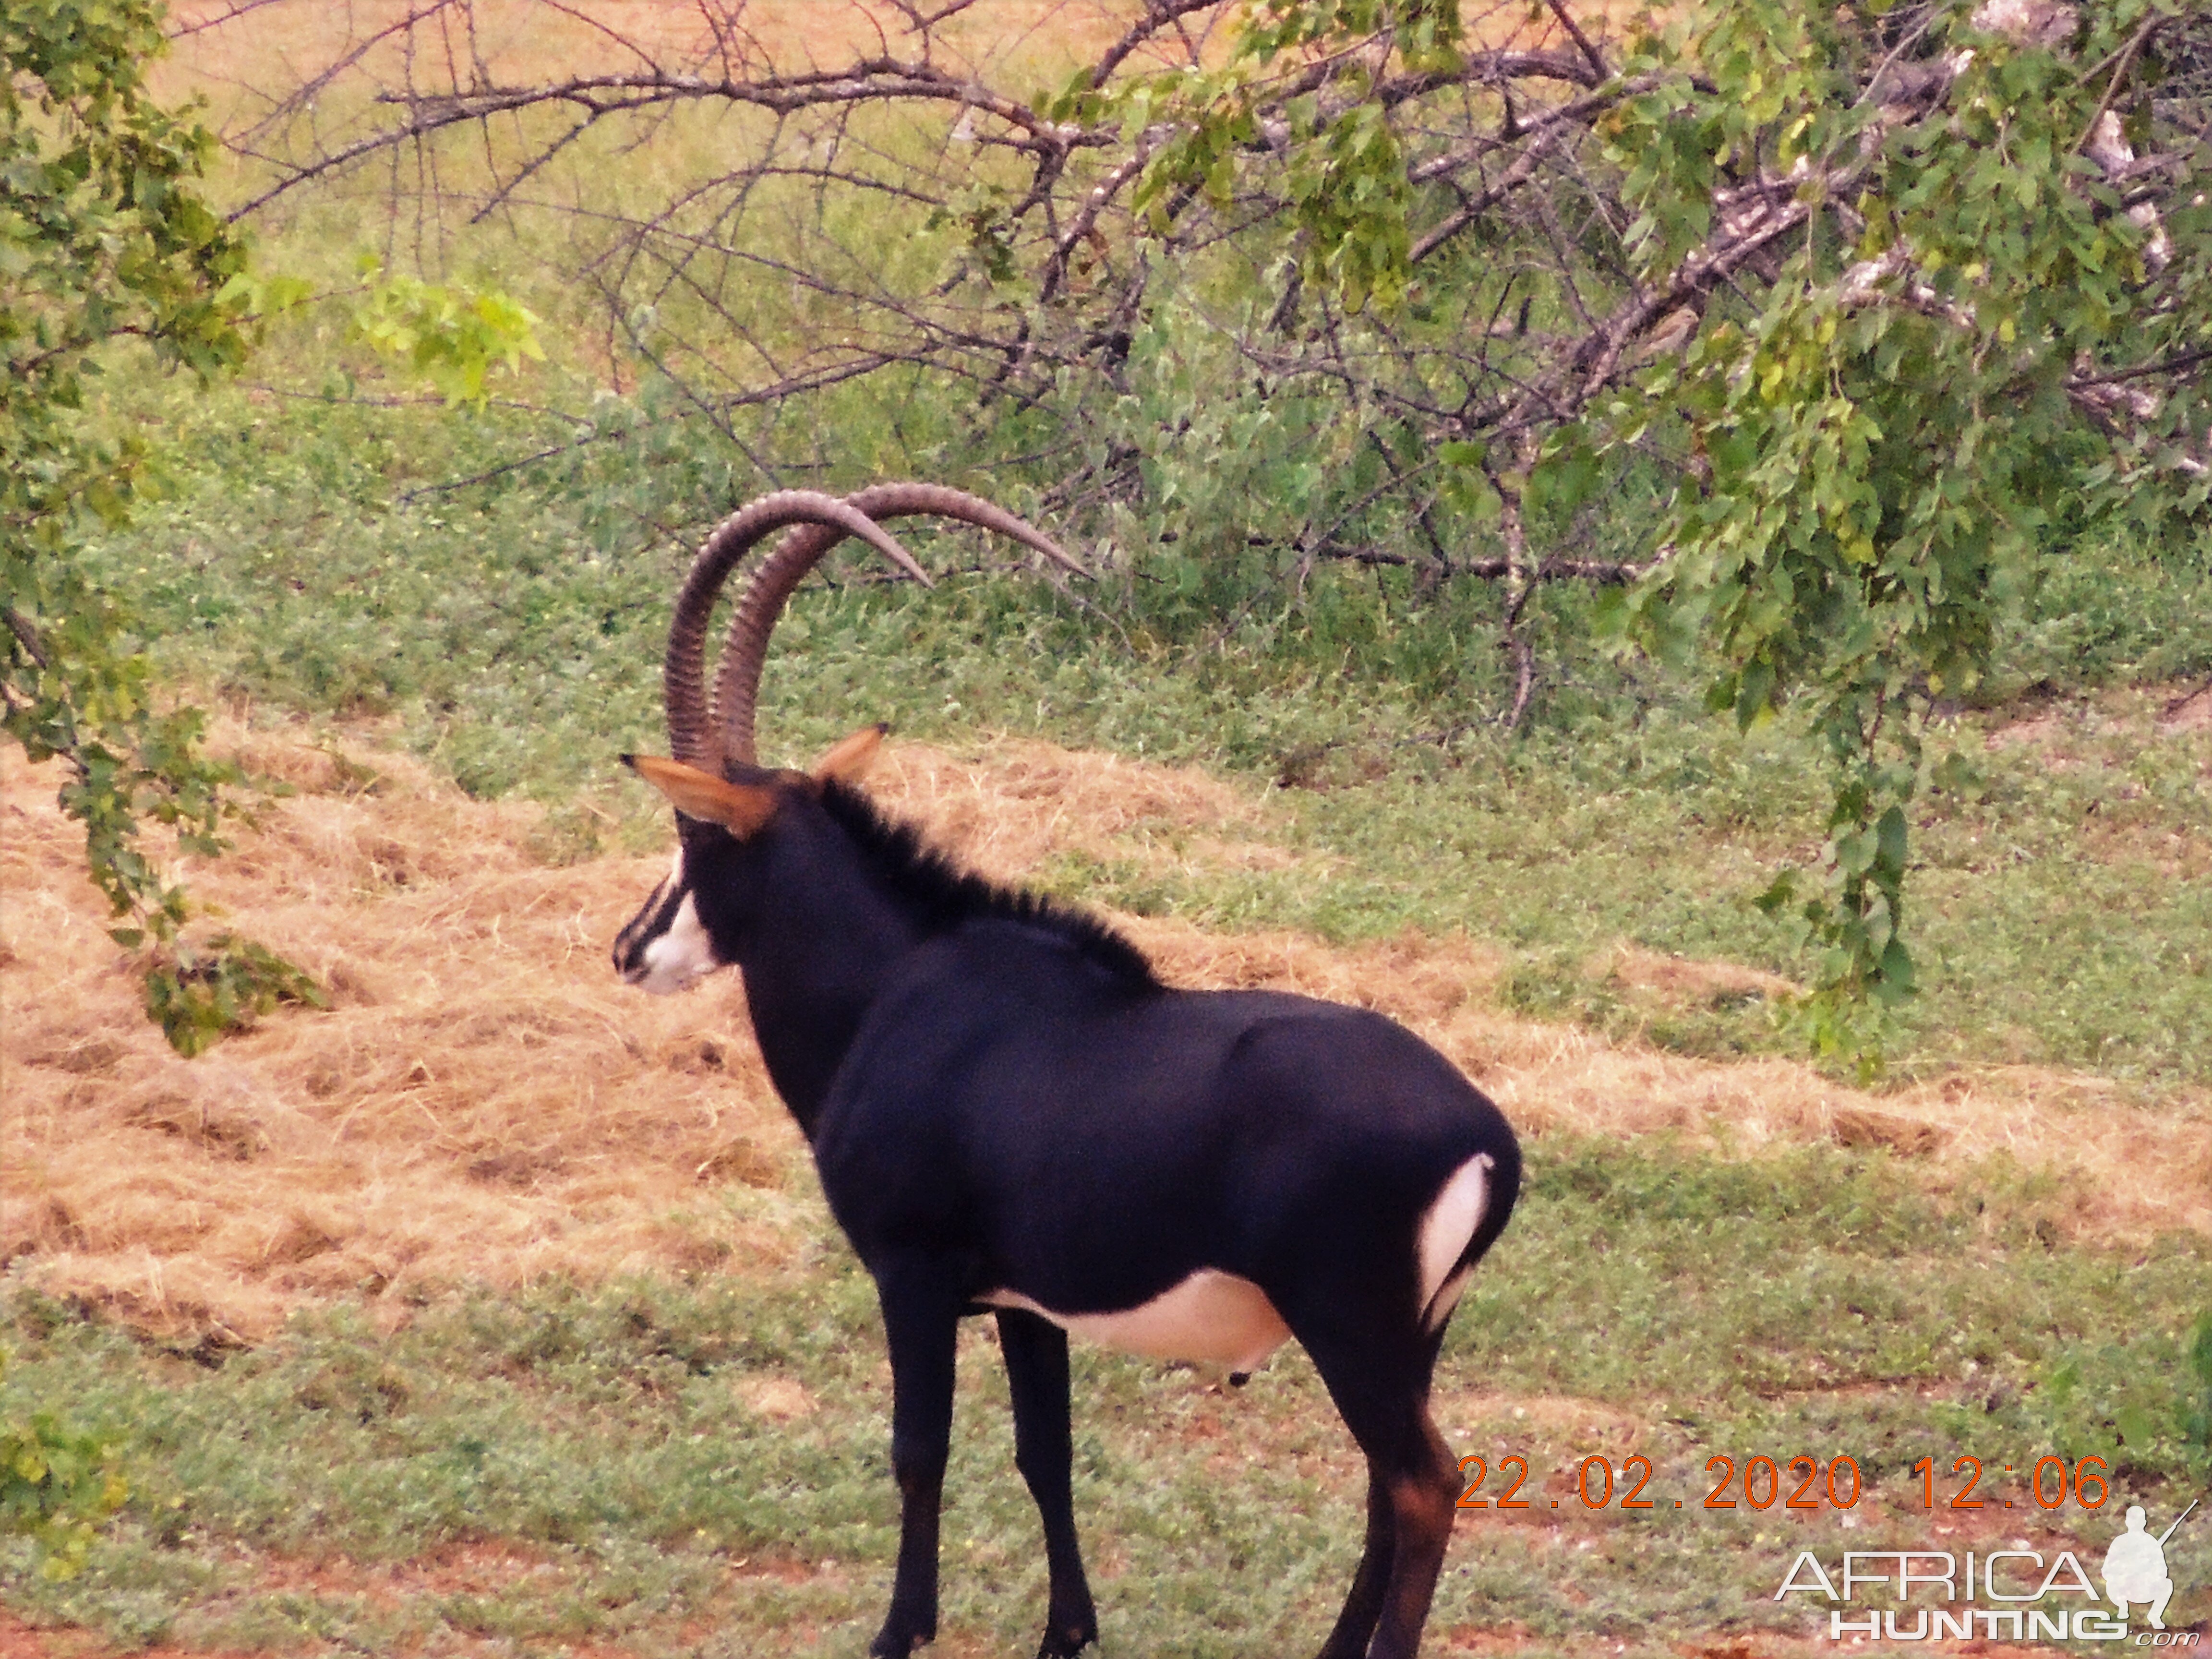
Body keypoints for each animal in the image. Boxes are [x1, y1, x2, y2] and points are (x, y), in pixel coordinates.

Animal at [619, 486, 1522, 1654]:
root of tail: (1487, 1142)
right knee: (1386, 1484)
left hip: (1350, 1327)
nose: (630, 949)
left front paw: (899, 1632)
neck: (897, 984)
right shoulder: (1023, 1304)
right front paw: (1067, 1632)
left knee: (1423, 1485)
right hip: (1412, 1337)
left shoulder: (912, 1277)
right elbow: (1044, 1456)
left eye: (695, 835)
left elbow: (919, 1454)